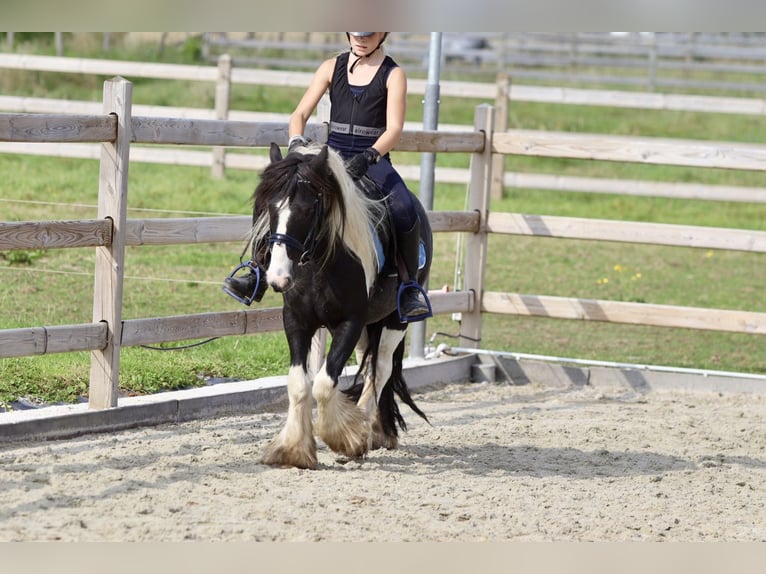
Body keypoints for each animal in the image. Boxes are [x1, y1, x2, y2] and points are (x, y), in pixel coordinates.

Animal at [252, 142, 432, 470]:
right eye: (270, 208)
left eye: (307, 210)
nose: (278, 277)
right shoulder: (296, 320)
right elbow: (299, 383)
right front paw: (293, 450)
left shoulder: (350, 322)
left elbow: (324, 384)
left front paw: (347, 440)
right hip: (367, 329)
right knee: (369, 362)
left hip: (395, 321)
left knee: (380, 370)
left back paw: (367, 432)